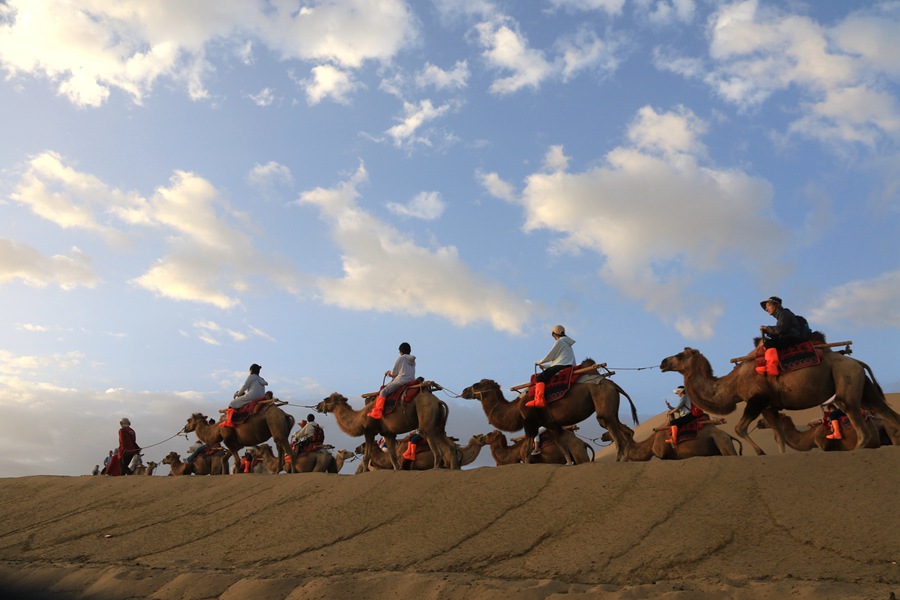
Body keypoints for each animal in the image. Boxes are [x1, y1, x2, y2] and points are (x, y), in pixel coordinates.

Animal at [314, 390, 458, 474]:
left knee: (430, 439)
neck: (360, 417)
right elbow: (393, 458)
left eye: (326, 399)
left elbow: (366, 456)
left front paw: (365, 472)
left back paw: (436, 468)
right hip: (439, 425)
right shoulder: (388, 433)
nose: (318, 406)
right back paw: (453, 468)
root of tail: (438, 401)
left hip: (426, 417)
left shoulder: (369, 431)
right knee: (450, 446)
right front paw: (397, 470)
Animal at [656, 346, 896, 454]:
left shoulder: (757, 400)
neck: (732, 384)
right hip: (865, 390)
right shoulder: (769, 408)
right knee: (890, 414)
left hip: (847, 388)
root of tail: (857, 362)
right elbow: (779, 437)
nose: (662, 362)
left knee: (861, 428)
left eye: (680, 355)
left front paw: (760, 452)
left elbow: (739, 428)